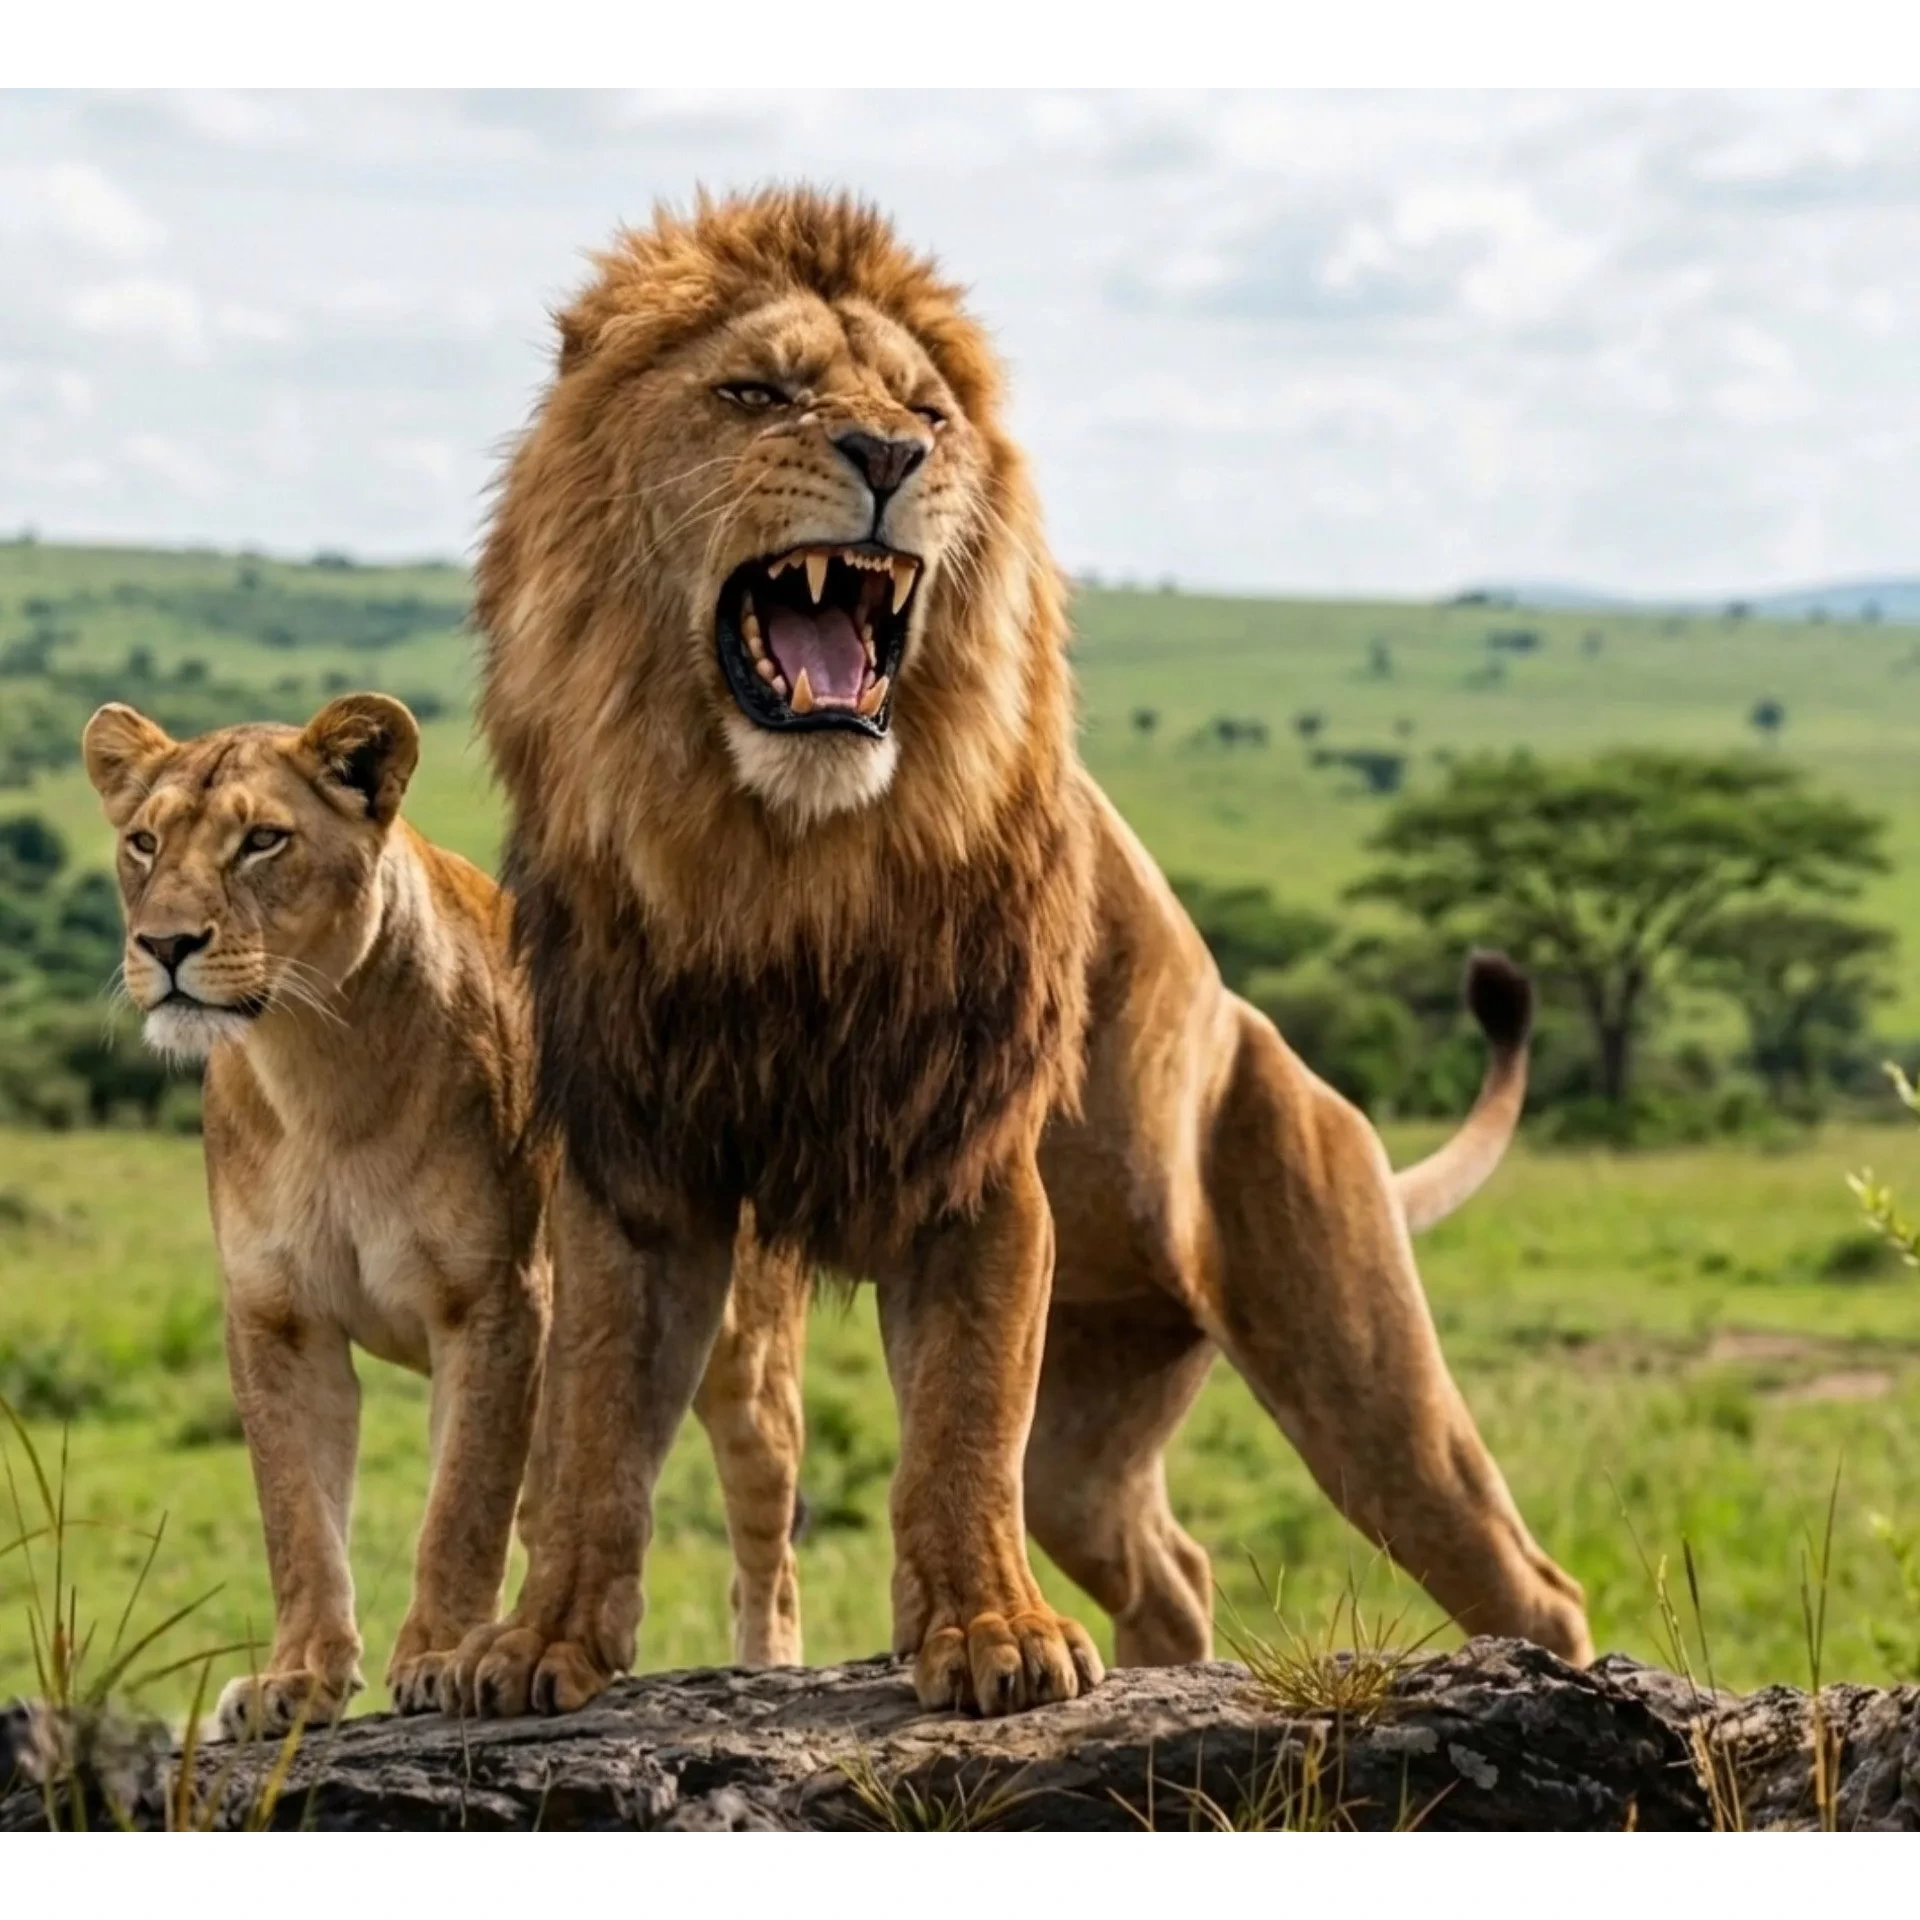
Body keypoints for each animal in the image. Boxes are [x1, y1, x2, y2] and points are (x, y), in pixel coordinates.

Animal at [81, 694, 809, 1737]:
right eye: (142, 841)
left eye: (262, 841)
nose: (165, 947)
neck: (317, 1070)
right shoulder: (275, 1317)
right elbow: (298, 1516)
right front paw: (294, 1680)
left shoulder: (495, 1304)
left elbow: (459, 1507)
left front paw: (431, 1659)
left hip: (748, 1361)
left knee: (767, 1544)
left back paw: (762, 1666)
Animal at [450, 188, 1593, 1722]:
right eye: (756, 393)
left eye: (928, 410)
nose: (889, 455)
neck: (778, 861)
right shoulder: (640, 1168)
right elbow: (590, 1427)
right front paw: (538, 1644)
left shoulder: (974, 1162)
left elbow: (958, 1424)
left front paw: (993, 1640)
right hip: (1093, 1434)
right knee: (1171, 1564)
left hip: (1360, 1365)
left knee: (1524, 1578)